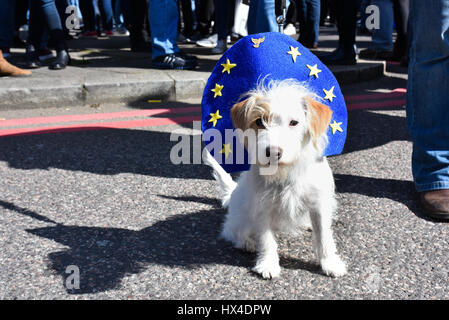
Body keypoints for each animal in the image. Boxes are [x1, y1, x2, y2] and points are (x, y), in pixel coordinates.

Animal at [203, 79, 346, 278]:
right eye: (259, 121)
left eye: (294, 122)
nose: (273, 152)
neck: (286, 172)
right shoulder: (262, 207)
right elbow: (266, 239)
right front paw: (268, 264)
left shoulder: (319, 204)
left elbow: (324, 236)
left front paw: (330, 263)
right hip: (242, 218)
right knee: (232, 231)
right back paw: (245, 242)